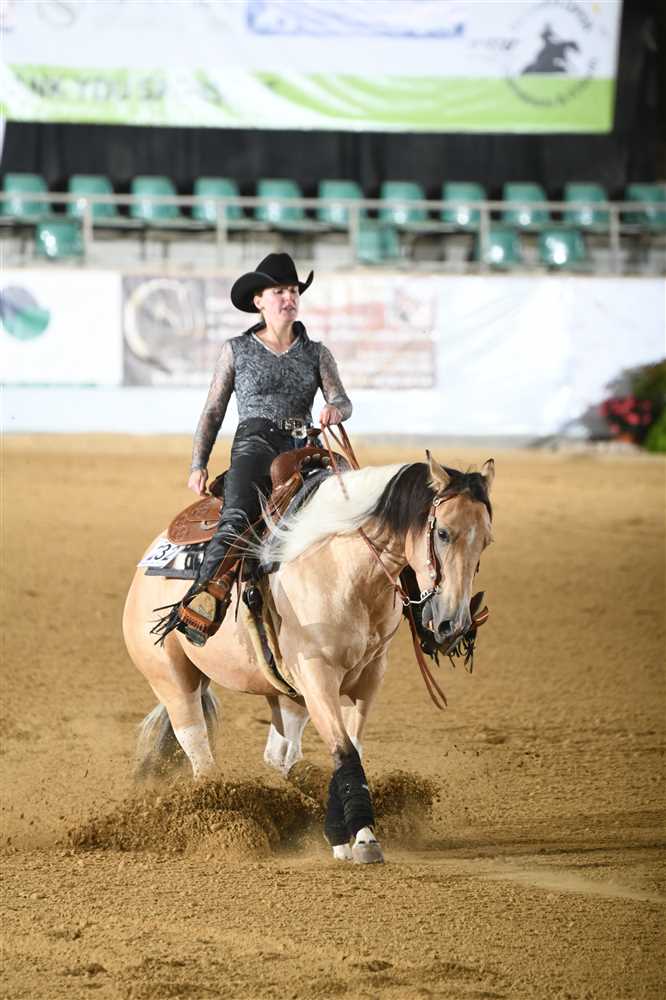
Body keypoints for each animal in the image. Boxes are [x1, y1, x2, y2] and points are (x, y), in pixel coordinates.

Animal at [122, 452, 494, 864]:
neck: (344, 566)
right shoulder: (317, 673)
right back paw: (220, 823)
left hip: (286, 694)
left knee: (281, 755)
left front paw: (340, 834)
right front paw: (363, 838)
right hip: (173, 678)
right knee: (199, 752)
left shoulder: (368, 676)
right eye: (442, 533)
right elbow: (344, 751)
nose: (452, 625)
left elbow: (350, 747)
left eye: (486, 541)